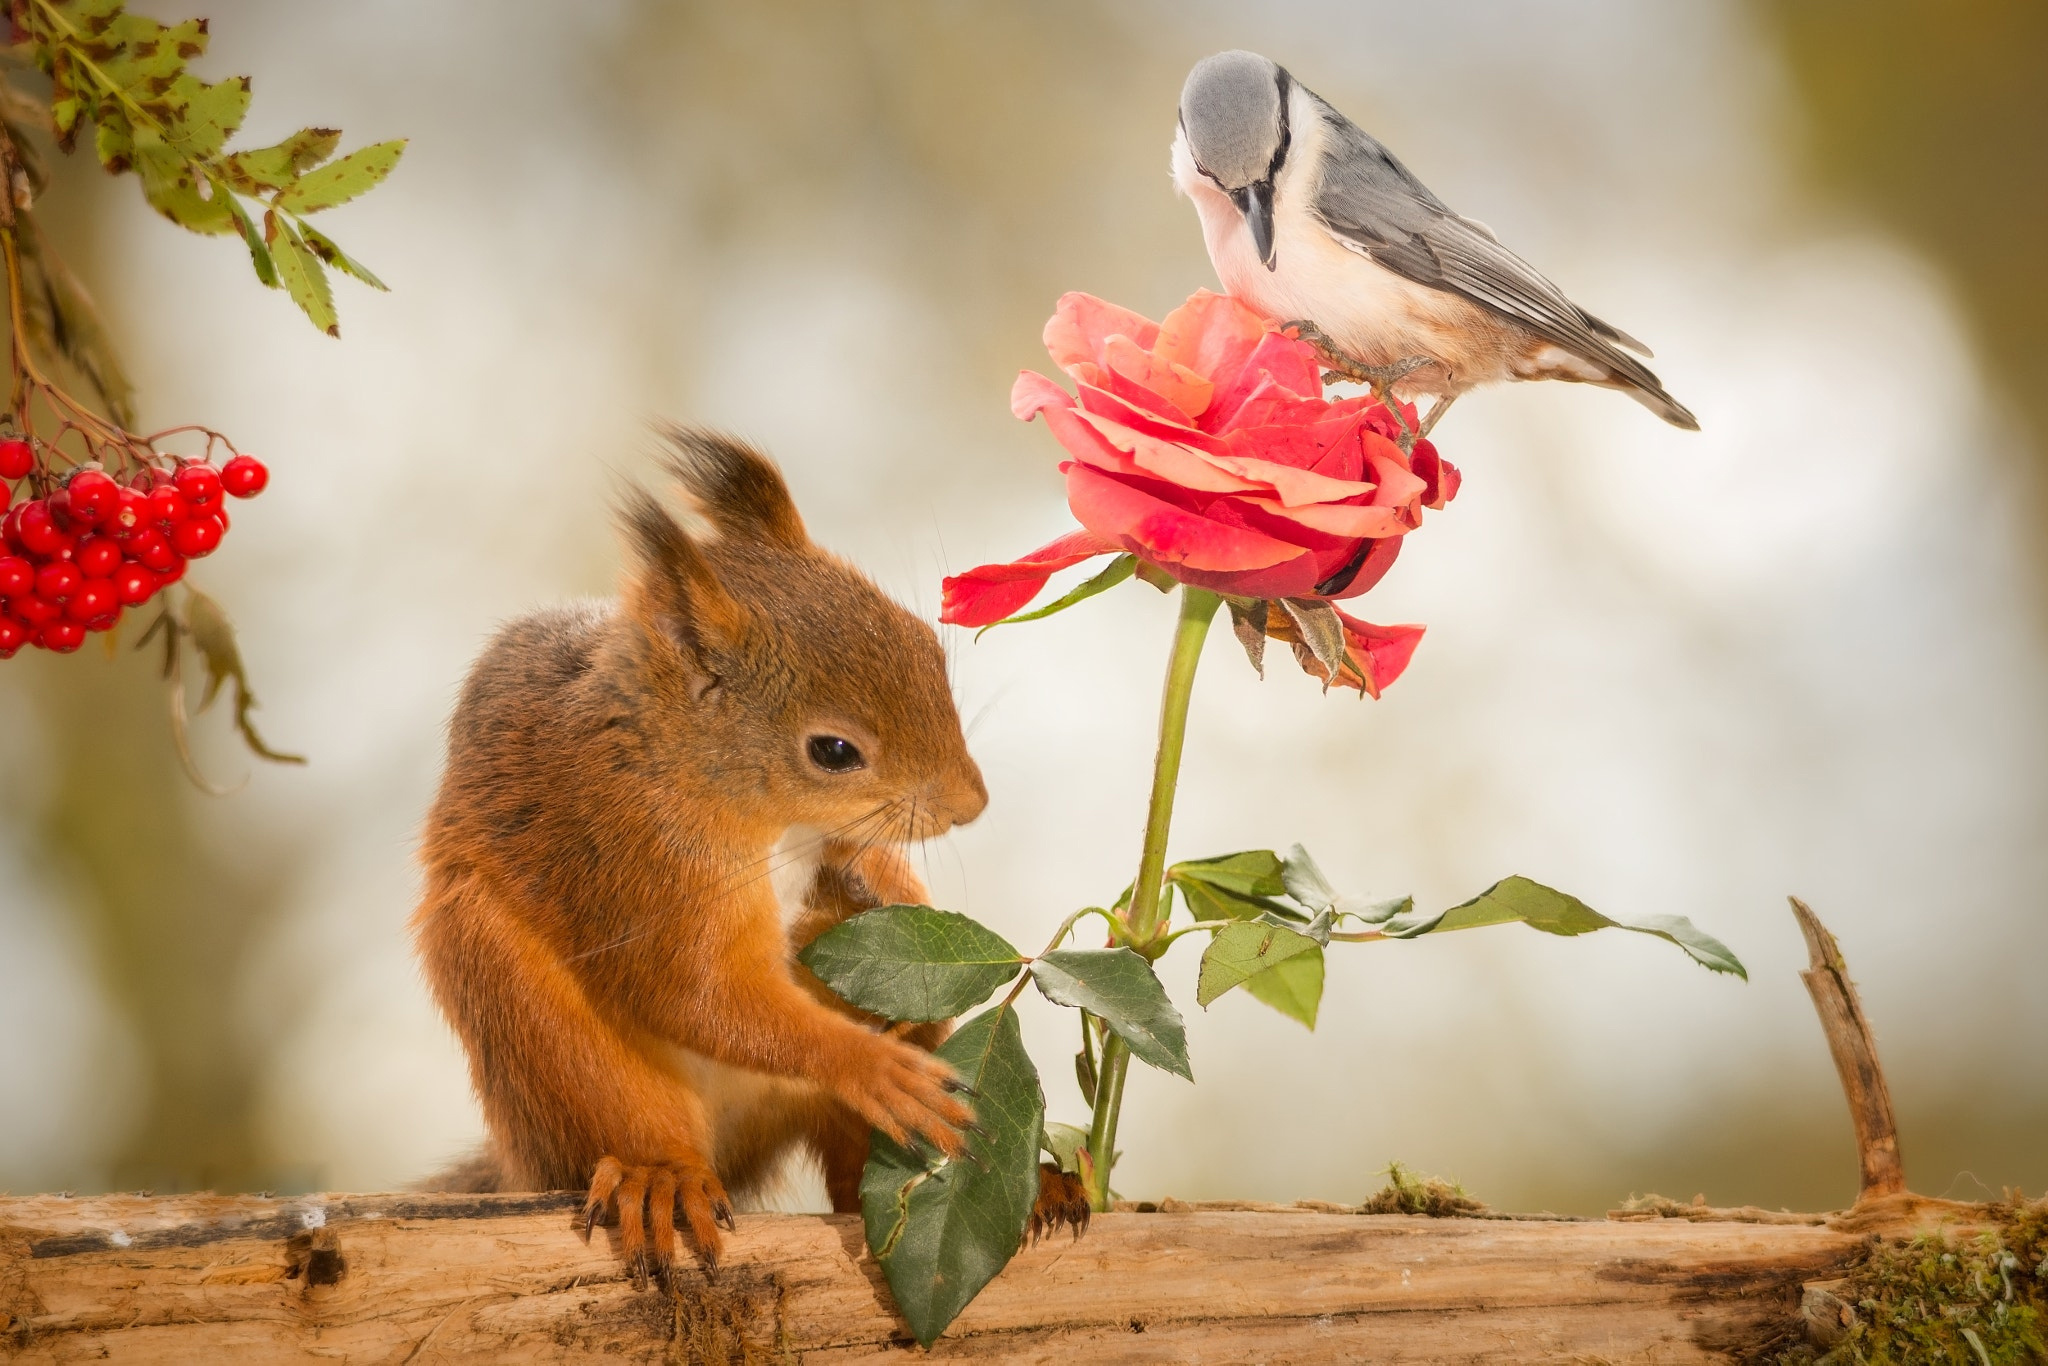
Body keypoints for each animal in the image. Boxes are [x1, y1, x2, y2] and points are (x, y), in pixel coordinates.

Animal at [411, 428, 1024, 1269]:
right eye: (833, 751)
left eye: (924, 642)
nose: (972, 806)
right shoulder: (641, 855)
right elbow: (698, 992)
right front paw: (866, 1064)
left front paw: (896, 894)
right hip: (541, 1031)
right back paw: (659, 1175)